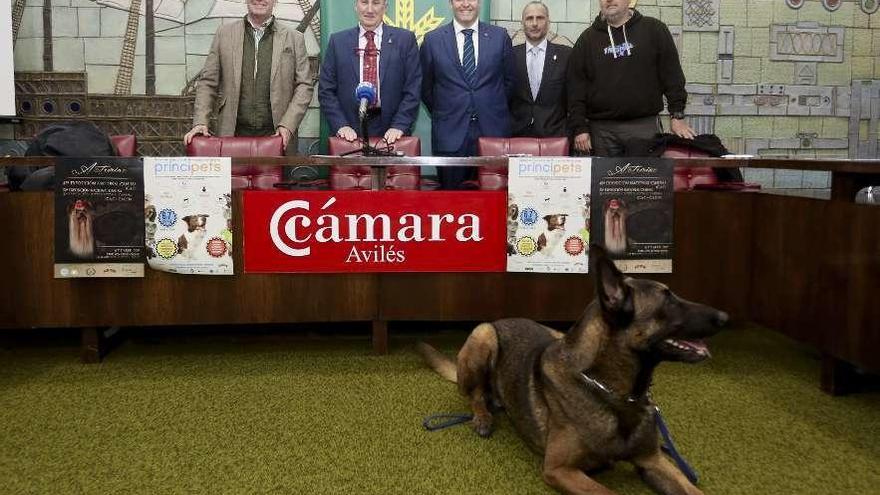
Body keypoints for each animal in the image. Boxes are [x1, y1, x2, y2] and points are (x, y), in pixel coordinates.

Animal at [420, 245, 728, 495]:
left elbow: (693, 490)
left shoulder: (653, 461)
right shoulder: (560, 470)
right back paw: (483, 415)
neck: (614, 393)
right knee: (475, 394)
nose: (726, 317)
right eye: (669, 300)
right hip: (483, 334)